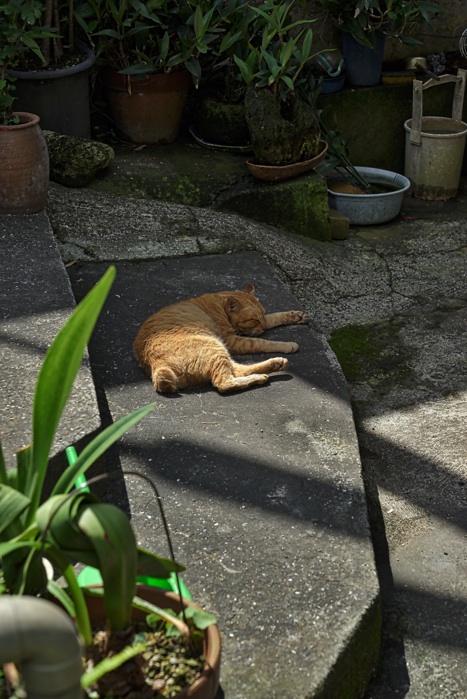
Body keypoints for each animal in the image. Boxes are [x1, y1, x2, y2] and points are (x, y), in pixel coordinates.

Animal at [133, 284, 308, 394]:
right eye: (254, 320)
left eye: (261, 317)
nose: (263, 328)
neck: (219, 303)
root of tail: (155, 365)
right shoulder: (233, 340)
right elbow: (262, 342)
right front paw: (287, 345)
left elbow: (275, 317)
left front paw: (295, 316)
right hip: (214, 346)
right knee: (224, 383)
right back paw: (260, 376)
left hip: (218, 350)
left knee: (238, 370)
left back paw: (276, 364)